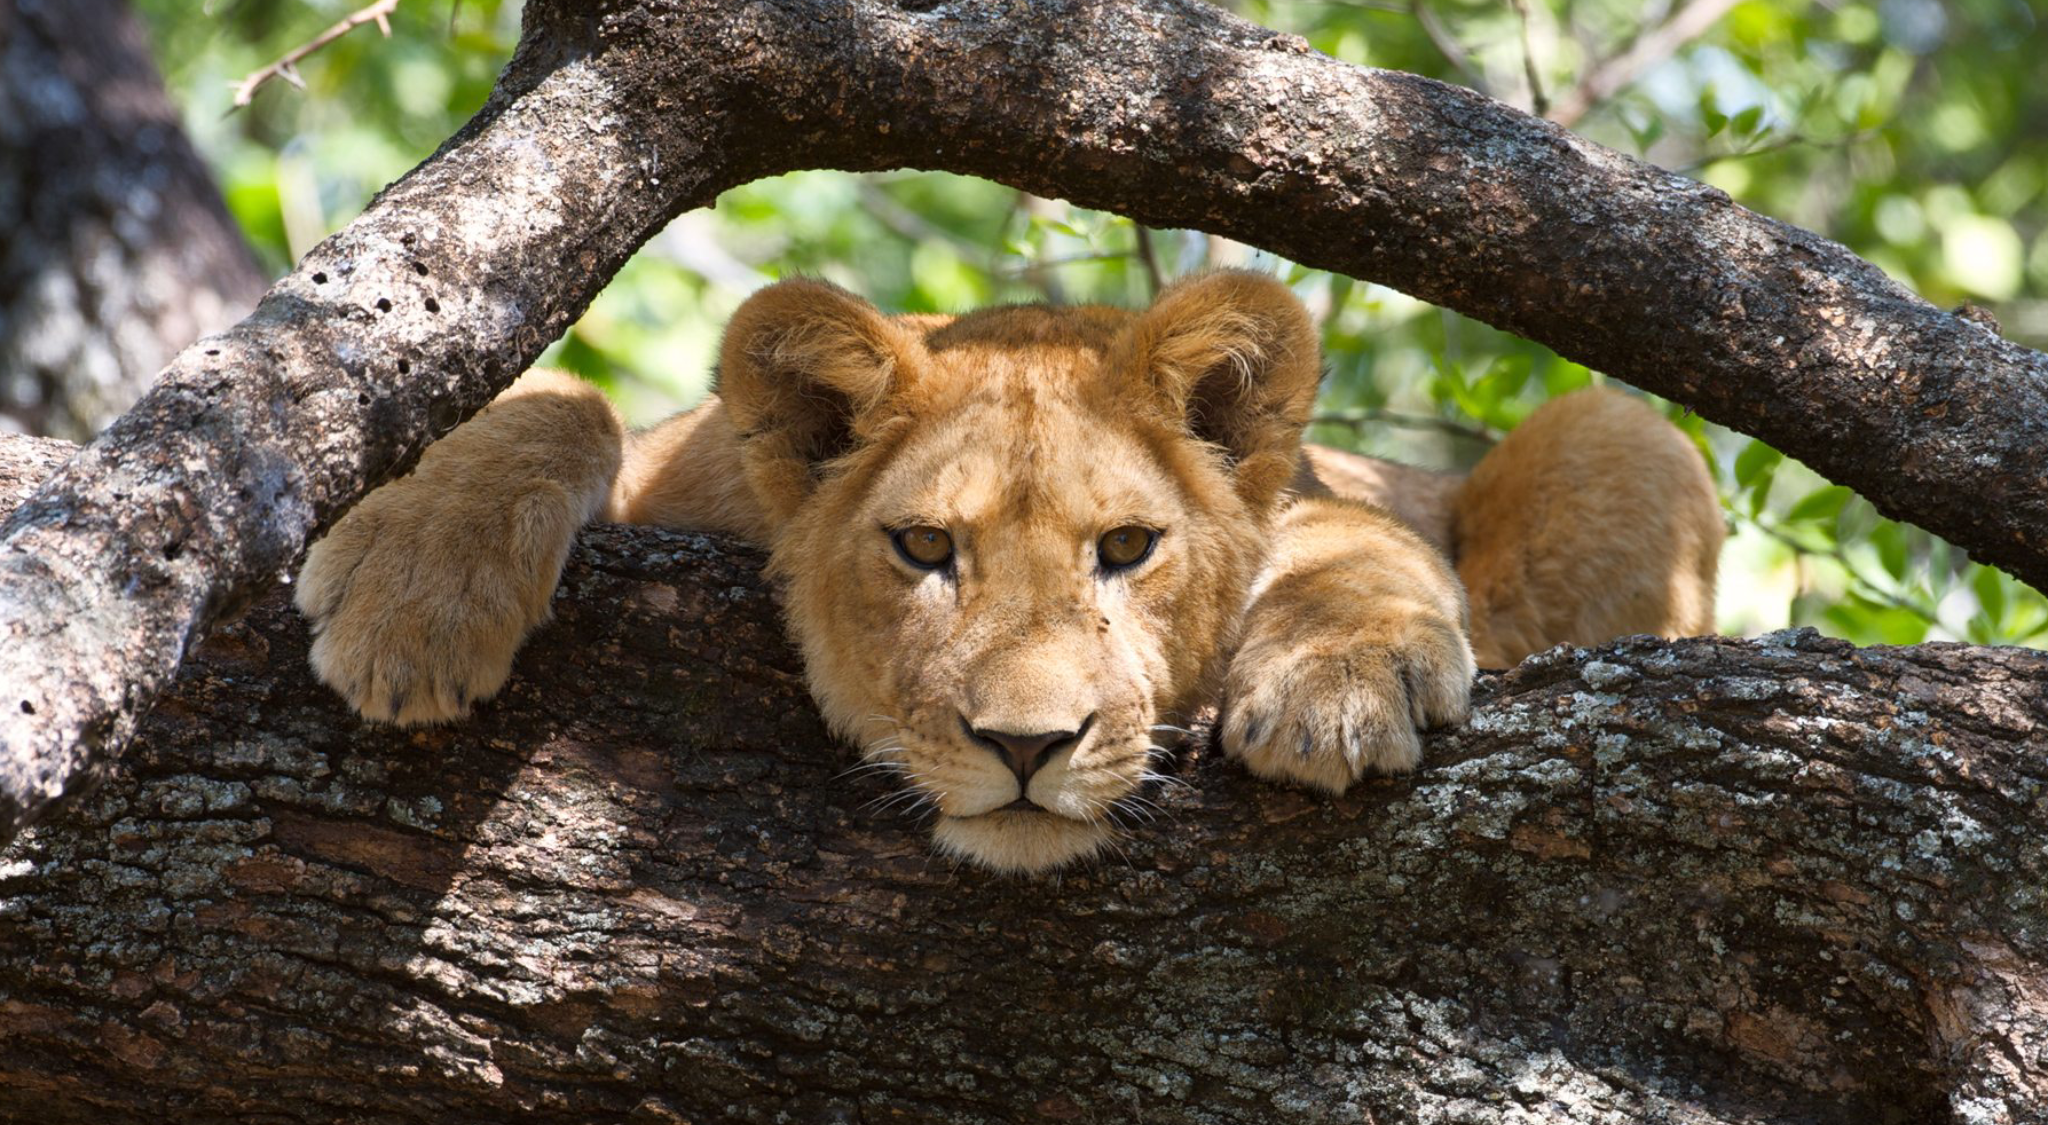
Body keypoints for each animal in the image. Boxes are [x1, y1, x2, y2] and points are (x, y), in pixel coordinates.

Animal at [296, 271, 1722, 873]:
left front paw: (1335, 684)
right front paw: (411, 598)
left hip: (1626, 433)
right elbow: (561, 400)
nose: (1027, 748)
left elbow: (1350, 541)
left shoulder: (1325, 503)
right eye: (925, 548)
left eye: (1128, 550)